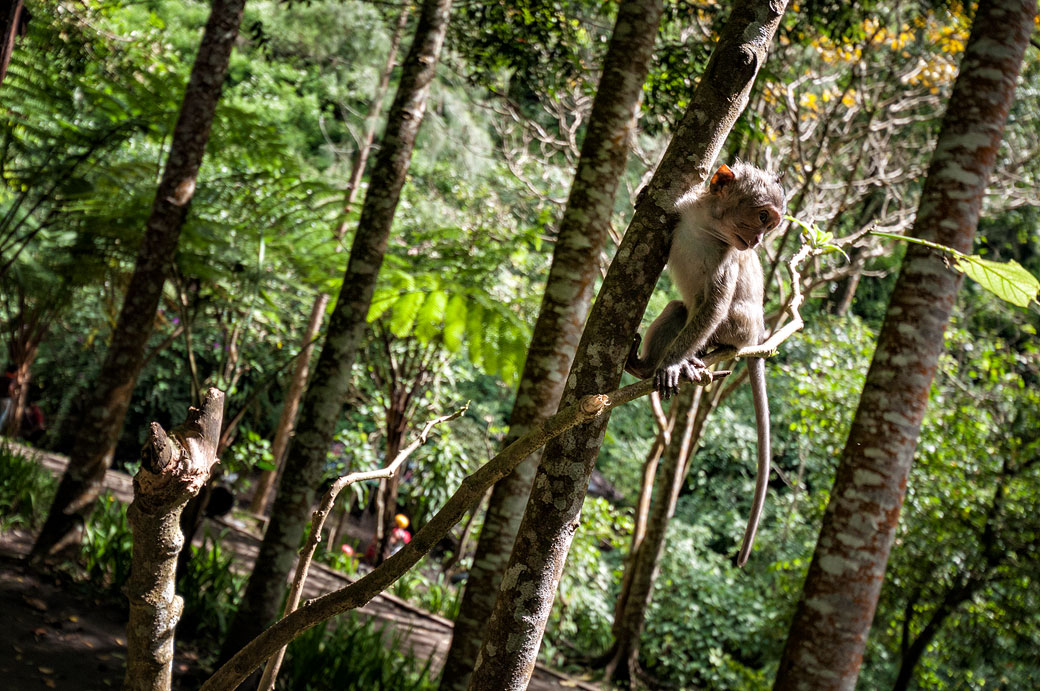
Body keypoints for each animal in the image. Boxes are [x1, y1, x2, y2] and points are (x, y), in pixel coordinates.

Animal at [619, 162, 782, 566]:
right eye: (763, 217)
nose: (759, 240)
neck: (708, 226)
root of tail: (759, 330)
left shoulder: (728, 256)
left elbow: (715, 306)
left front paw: (673, 366)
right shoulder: (685, 211)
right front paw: (643, 194)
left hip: (741, 326)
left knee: (713, 317)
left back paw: (689, 360)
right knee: (680, 309)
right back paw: (648, 367)